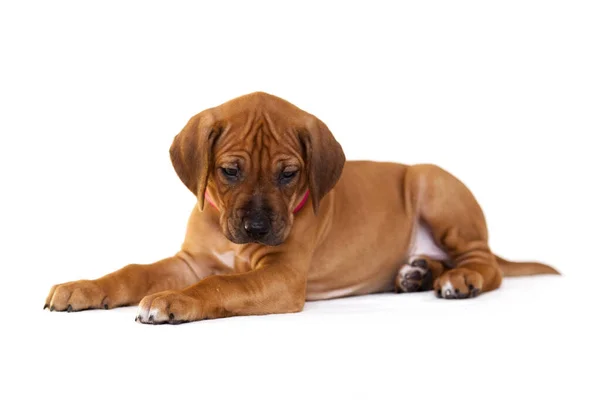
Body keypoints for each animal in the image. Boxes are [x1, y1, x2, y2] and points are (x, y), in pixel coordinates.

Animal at [42, 92, 556, 324]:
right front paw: (83, 288)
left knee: (487, 264)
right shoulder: (190, 261)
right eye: (229, 170)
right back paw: (416, 274)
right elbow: (133, 271)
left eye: (289, 174)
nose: (256, 226)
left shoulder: (282, 275)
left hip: (432, 182)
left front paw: (175, 301)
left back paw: (459, 279)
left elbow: (220, 284)